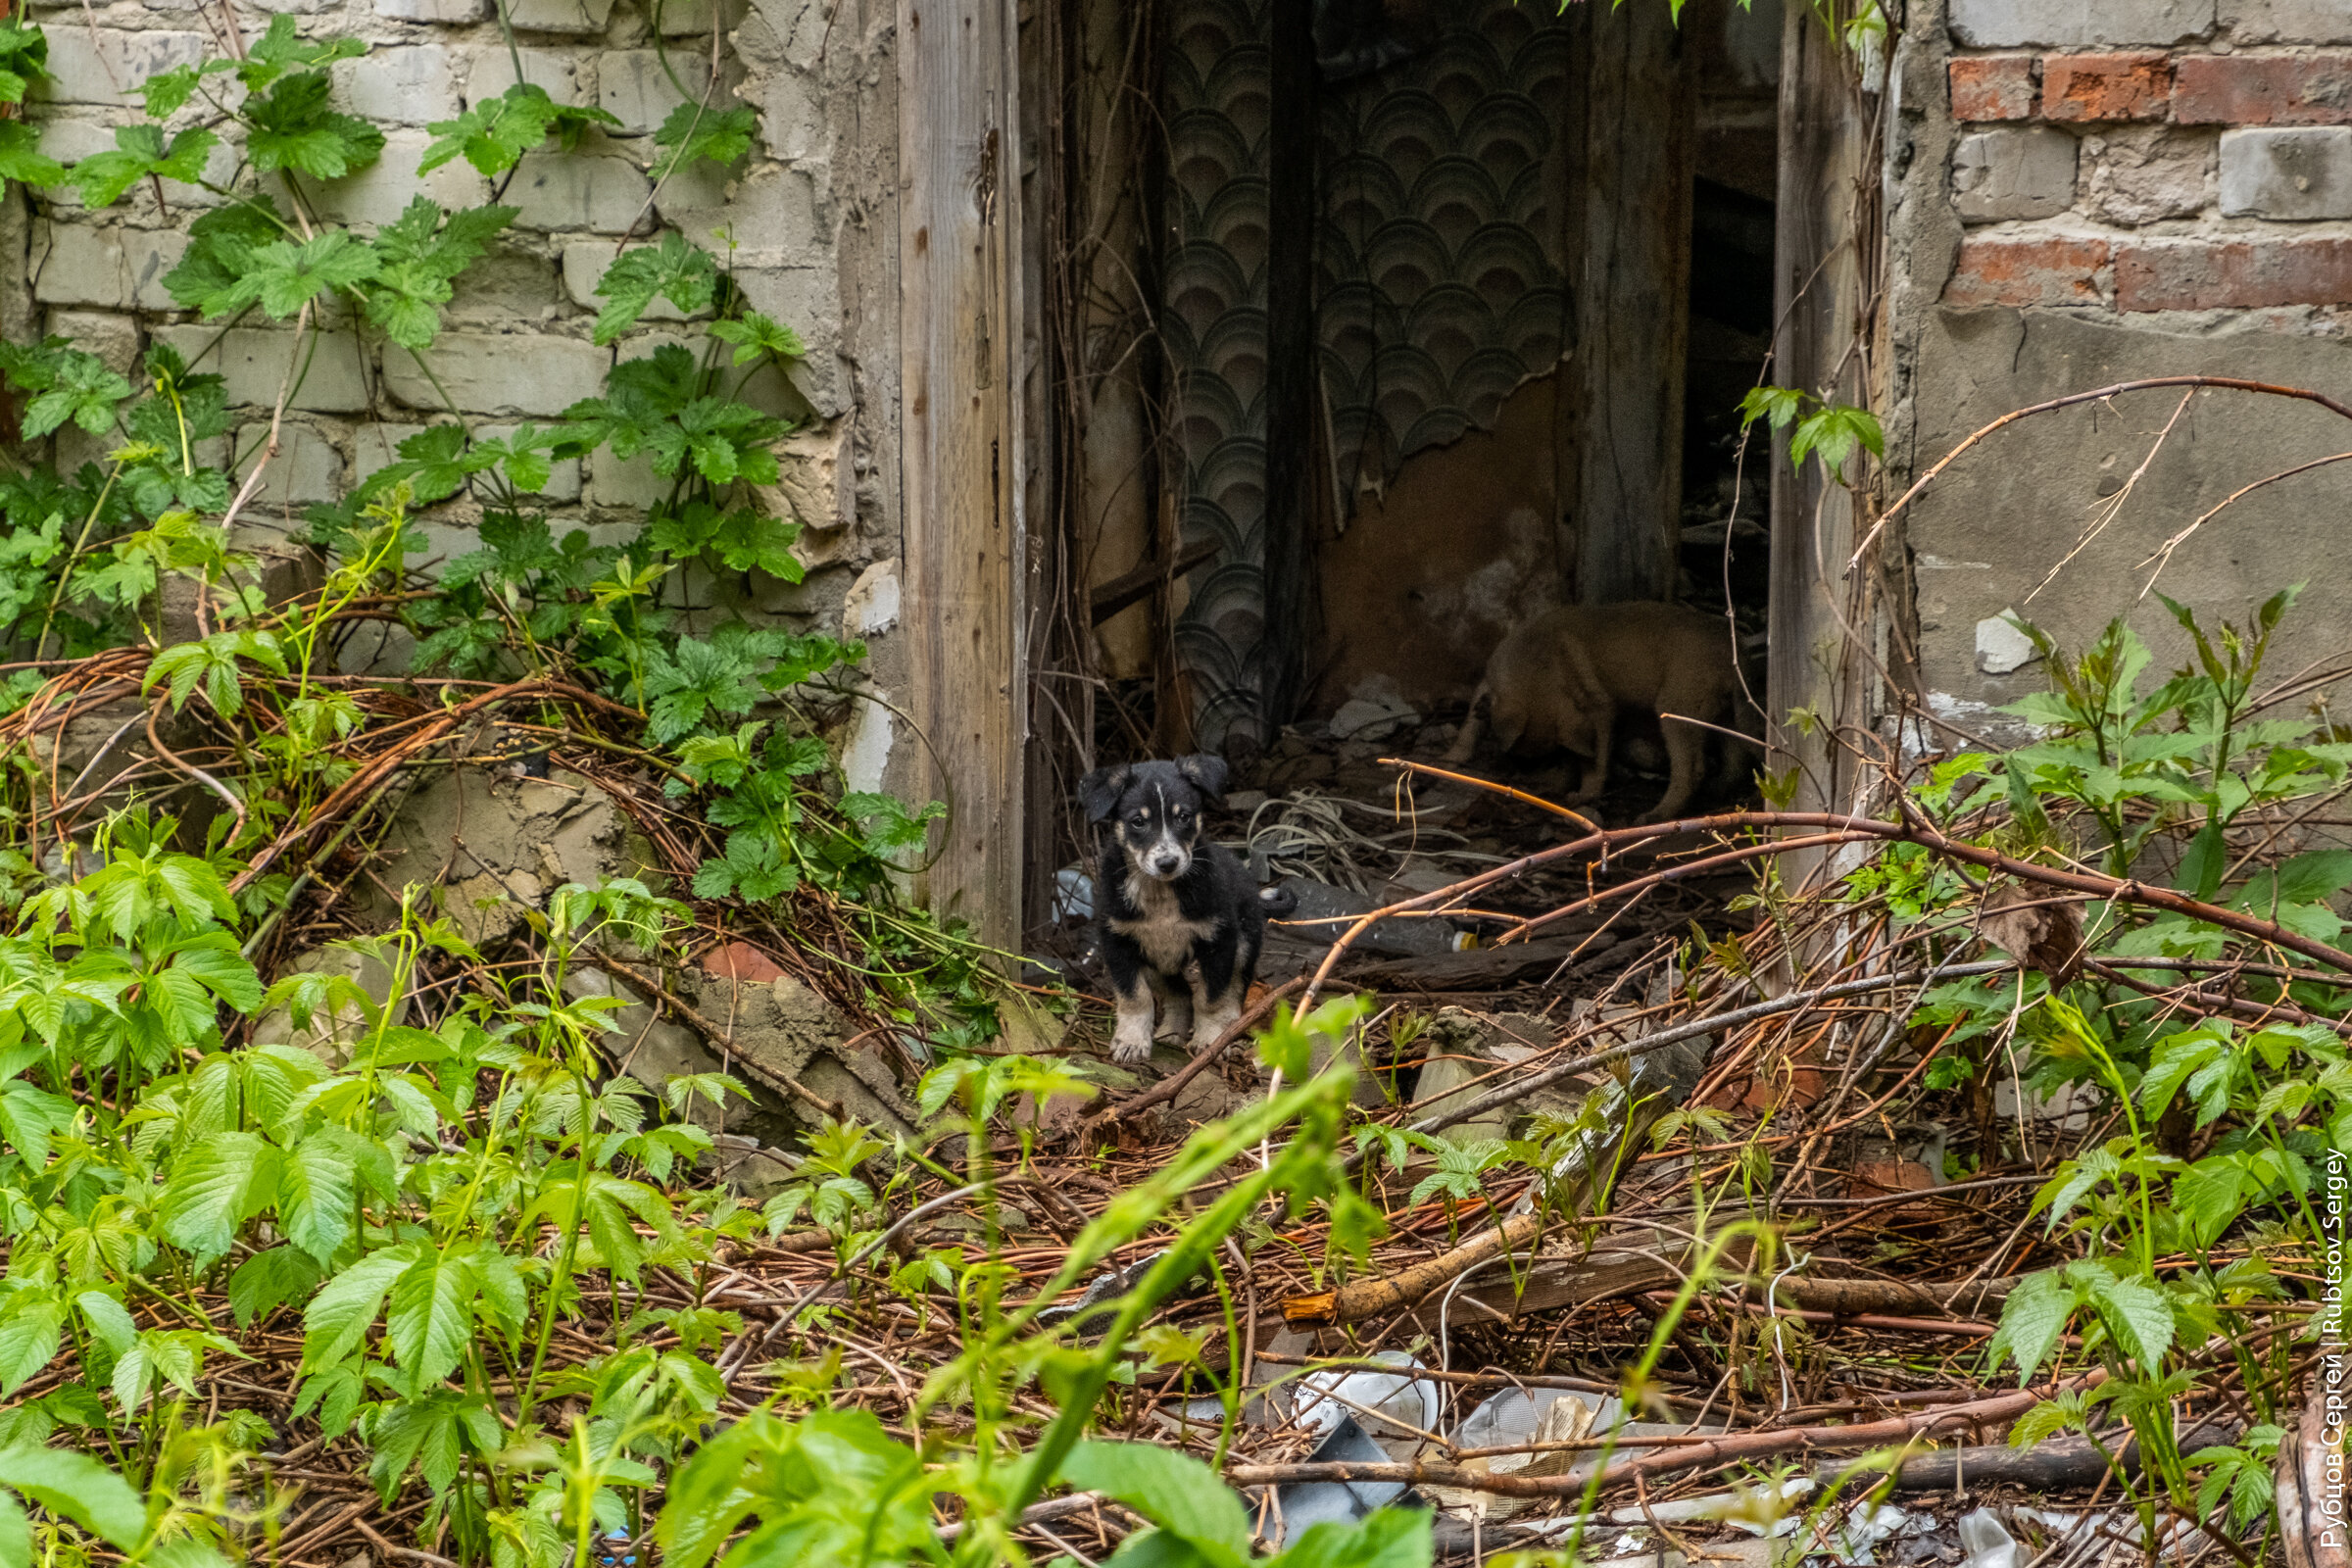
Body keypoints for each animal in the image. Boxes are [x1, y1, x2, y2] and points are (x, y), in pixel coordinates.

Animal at [1082, 757, 1289, 1067]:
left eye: (1184, 817)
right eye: (1138, 822)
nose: (1168, 863)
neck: (1159, 892)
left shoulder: (1219, 940)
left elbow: (1211, 996)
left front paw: (1210, 1039)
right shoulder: (1117, 941)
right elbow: (1135, 997)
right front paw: (1131, 1042)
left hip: (1244, 942)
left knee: (1233, 987)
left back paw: (1228, 1024)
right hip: (1154, 960)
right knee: (1179, 993)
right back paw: (1171, 1032)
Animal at [1439, 597, 1759, 822]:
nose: (1530, 784)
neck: (1541, 662)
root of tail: (1733, 651)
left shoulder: (1600, 710)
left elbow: (1595, 761)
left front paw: (1586, 793)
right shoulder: (1489, 684)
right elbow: (1469, 724)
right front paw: (1453, 757)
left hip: (1675, 709)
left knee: (1691, 770)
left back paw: (1658, 814)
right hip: (1725, 713)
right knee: (1736, 752)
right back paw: (1721, 787)